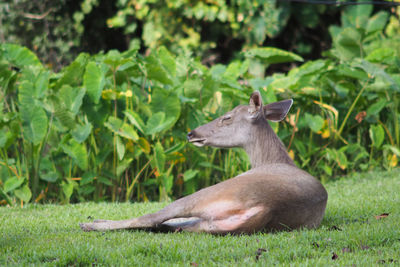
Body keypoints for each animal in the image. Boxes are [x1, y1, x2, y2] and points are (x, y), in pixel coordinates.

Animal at [79, 91, 326, 234]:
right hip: (206, 224)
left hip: (211, 192)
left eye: (227, 117)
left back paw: (91, 224)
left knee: (153, 218)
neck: (268, 159)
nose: (192, 133)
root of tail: (267, 208)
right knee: (169, 225)